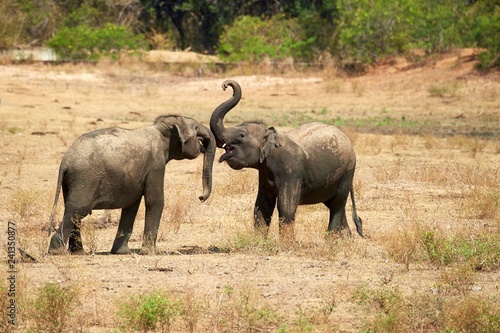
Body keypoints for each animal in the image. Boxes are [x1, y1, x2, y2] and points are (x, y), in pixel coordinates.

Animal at [47, 114, 217, 254]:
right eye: (196, 128)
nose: (201, 197)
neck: (161, 129)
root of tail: (65, 161)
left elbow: (131, 205)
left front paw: (122, 252)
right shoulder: (156, 165)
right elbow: (155, 200)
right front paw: (150, 253)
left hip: (72, 182)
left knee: (73, 212)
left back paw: (78, 253)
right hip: (85, 179)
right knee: (77, 210)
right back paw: (56, 251)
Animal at [211, 79, 364, 243]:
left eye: (241, 135)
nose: (225, 85)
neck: (271, 134)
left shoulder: (291, 169)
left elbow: (286, 206)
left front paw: (287, 245)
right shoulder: (264, 172)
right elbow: (262, 205)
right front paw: (259, 243)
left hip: (347, 171)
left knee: (337, 204)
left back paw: (330, 241)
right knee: (335, 204)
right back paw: (345, 240)